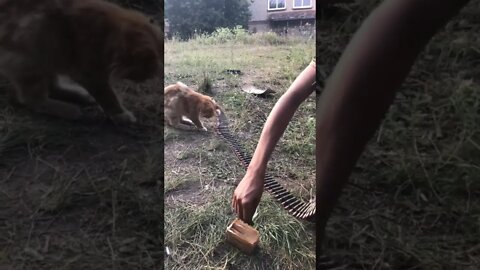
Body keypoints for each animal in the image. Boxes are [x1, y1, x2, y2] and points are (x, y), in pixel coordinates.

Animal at [0, 0, 163, 124]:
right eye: (145, 70)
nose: (147, 78)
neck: (109, 34)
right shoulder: (91, 75)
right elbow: (108, 96)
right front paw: (120, 115)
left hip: (49, 55)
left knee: (53, 87)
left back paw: (80, 96)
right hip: (31, 58)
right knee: (33, 100)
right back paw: (68, 110)